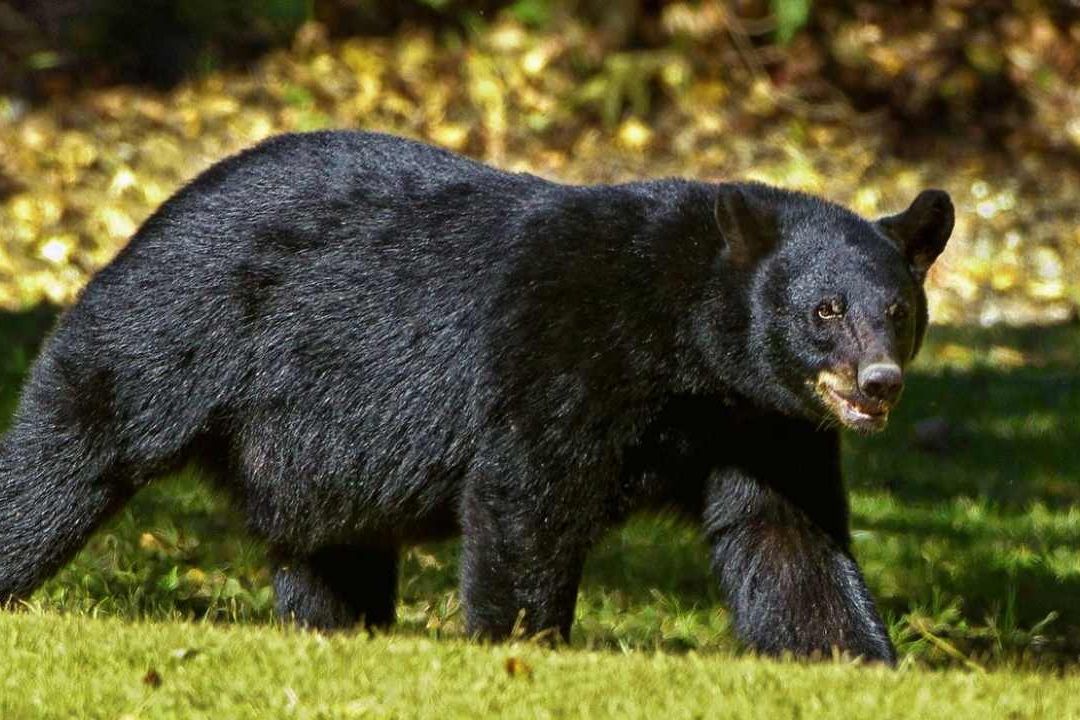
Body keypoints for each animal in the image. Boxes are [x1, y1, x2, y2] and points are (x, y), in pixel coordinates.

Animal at [0, 130, 954, 663]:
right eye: (825, 310)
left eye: (898, 311)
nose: (878, 382)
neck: (689, 344)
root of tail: (165, 204)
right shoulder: (565, 346)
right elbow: (528, 495)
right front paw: (523, 647)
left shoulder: (762, 421)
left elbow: (787, 538)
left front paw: (855, 658)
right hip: (176, 323)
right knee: (74, 442)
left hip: (315, 449)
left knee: (330, 547)